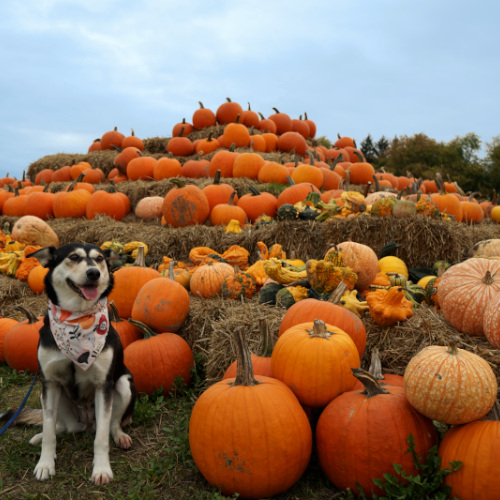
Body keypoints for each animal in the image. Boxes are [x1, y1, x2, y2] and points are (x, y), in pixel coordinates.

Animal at [1, 242, 137, 484]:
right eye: (73, 257)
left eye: (100, 259)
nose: (94, 273)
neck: (77, 317)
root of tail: (87, 423)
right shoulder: (50, 382)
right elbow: (49, 431)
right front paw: (45, 464)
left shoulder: (104, 384)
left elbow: (102, 437)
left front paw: (102, 469)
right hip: (46, 396)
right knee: (59, 427)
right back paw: (39, 435)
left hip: (123, 384)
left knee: (112, 424)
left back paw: (120, 436)